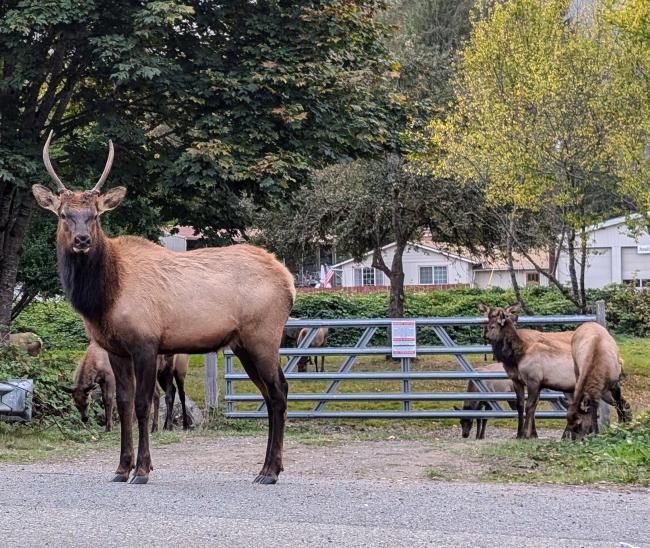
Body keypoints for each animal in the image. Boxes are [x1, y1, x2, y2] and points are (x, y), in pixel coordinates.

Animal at [33, 131, 295, 485]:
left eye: (95, 215)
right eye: (63, 215)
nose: (82, 240)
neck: (103, 298)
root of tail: (289, 281)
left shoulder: (146, 342)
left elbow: (143, 404)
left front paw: (142, 469)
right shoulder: (115, 349)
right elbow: (123, 404)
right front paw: (121, 468)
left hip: (263, 337)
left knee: (279, 391)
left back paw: (270, 471)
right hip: (242, 344)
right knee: (268, 394)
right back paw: (268, 468)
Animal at [478, 303, 576, 439]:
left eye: (493, 325)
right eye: (489, 316)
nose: (484, 335)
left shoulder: (533, 381)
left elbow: (530, 406)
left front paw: (527, 433)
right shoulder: (517, 380)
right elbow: (522, 405)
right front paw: (523, 433)